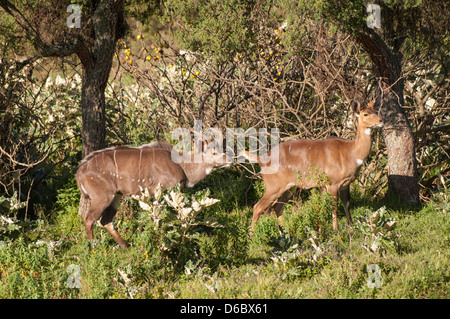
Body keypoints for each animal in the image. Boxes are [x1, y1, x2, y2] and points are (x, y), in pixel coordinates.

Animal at [76, 141, 229, 249]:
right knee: (89, 219)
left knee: (106, 221)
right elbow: (159, 219)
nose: (230, 159)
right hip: (102, 197)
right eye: (214, 152)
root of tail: (79, 172)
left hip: (116, 196)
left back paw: (125, 246)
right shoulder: (164, 191)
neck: (182, 166)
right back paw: (94, 248)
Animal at [244, 100, 384, 235]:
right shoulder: (332, 183)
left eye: (375, 111)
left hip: (290, 187)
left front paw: (351, 228)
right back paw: (252, 237)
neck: (351, 153)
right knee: (258, 207)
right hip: (273, 186)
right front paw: (336, 232)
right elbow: (334, 207)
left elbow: (347, 205)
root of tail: (260, 159)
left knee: (277, 207)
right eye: (365, 114)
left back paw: (286, 233)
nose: (381, 120)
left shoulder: (345, 184)